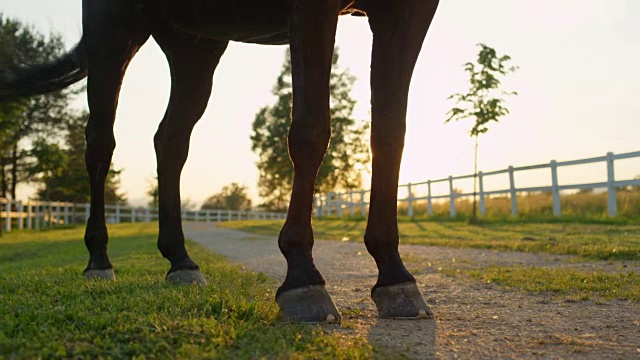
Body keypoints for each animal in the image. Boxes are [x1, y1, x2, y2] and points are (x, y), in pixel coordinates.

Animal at [0, 0, 440, 324]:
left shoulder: (408, 10)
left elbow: (390, 135)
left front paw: (394, 275)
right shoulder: (314, 6)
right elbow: (311, 129)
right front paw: (302, 277)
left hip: (194, 45)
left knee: (170, 142)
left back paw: (180, 261)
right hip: (113, 31)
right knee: (100, 146)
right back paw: (98, 260)